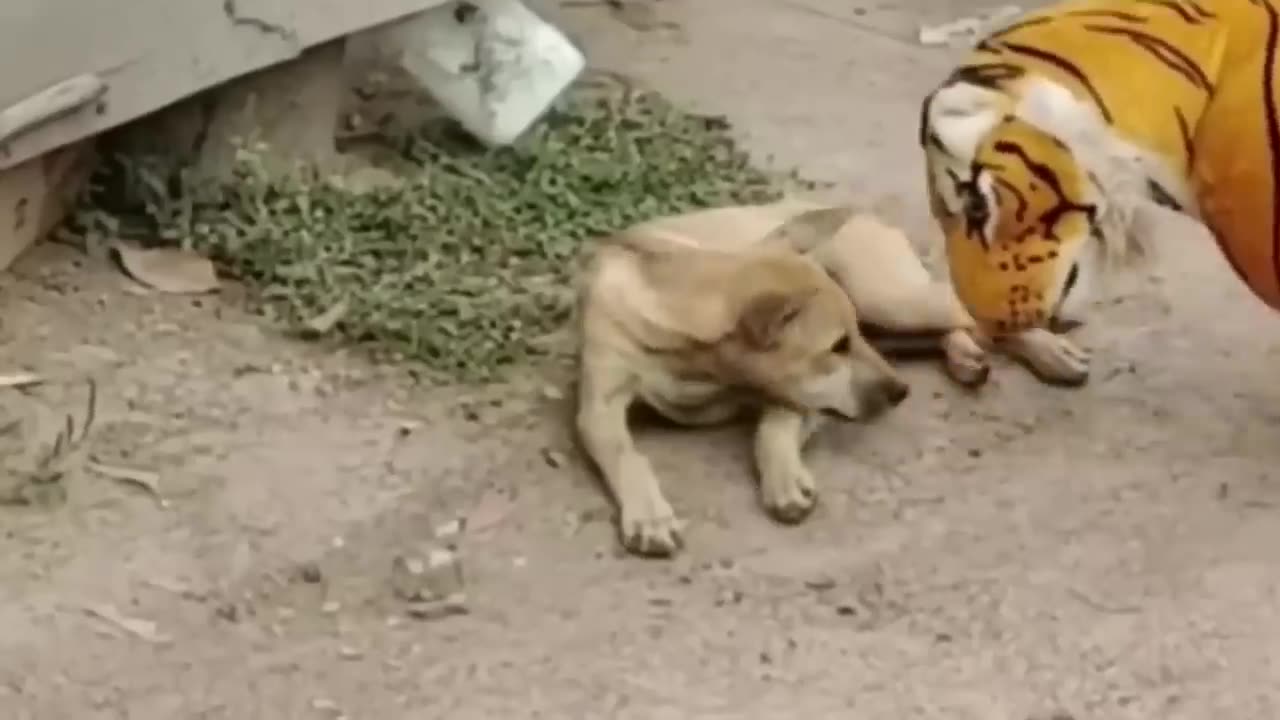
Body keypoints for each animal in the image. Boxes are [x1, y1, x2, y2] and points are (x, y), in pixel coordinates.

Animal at [576, 198, 1085, 558]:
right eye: (837, 346)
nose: (901, 392)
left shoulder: (809, 397)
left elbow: (772, 426)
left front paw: (783, 478)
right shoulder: (598, 407)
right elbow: (625, 455)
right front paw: (649, 515)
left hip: (888, 298)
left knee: (974, 312)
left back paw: (1050, 351)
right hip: (888, 322)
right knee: (954, 330)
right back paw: (965, 357)